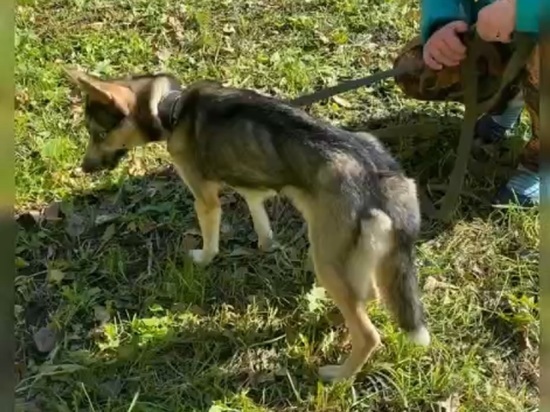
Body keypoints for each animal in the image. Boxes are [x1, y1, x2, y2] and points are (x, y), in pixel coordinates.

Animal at [66, 68, 432, 384]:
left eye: (99, 133)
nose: (83, 168)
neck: (171, 106)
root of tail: (382, 179)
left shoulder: (204, 198)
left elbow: (211, 239)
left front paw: (203, 258)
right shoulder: (251, 189)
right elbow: (259, 217)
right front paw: (265, 245)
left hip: (327, 258)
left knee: (368, 334)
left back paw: (338, 375)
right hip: (353, 260)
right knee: (366, 297)